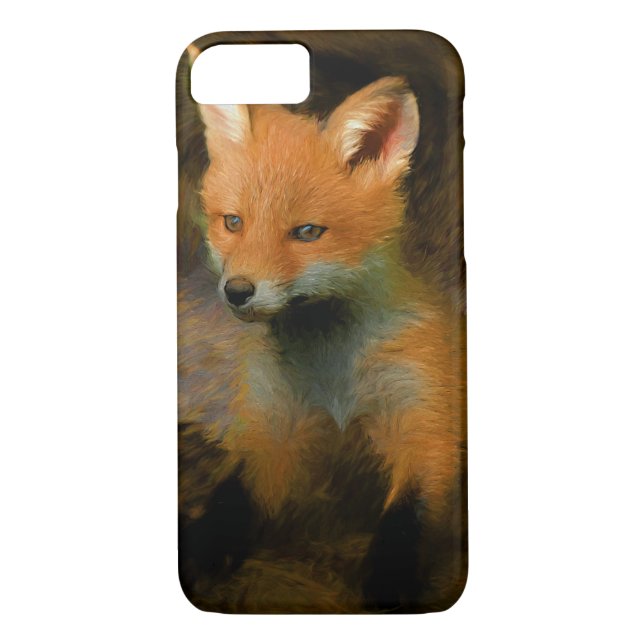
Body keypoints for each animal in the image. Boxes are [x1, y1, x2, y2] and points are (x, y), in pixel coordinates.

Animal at [178, 73, 465, 611]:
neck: (334, 380)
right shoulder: (274, 432)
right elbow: (232, 502)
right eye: (233, 223)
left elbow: (408, 517)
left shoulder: (427, 423)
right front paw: (201, 549)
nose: (237, 291)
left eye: (307, 232)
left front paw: (390, 584)